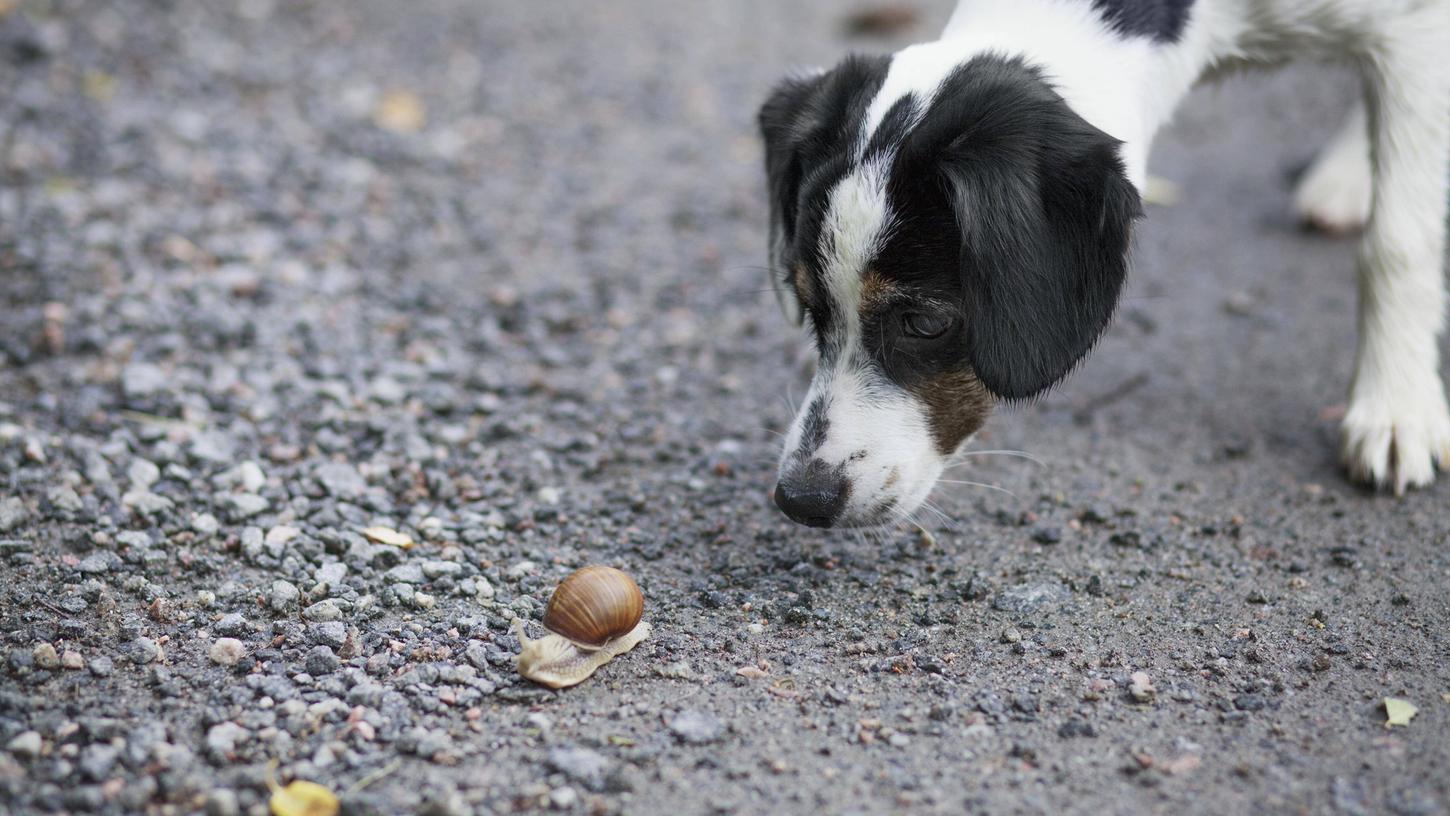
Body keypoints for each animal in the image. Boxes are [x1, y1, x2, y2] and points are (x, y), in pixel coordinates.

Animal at [759, 0, 1450, 530]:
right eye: (811, 308)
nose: (801, 500)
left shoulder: (1414, 33)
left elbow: (1398, 240)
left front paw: (1396, 407)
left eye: (926, 323)